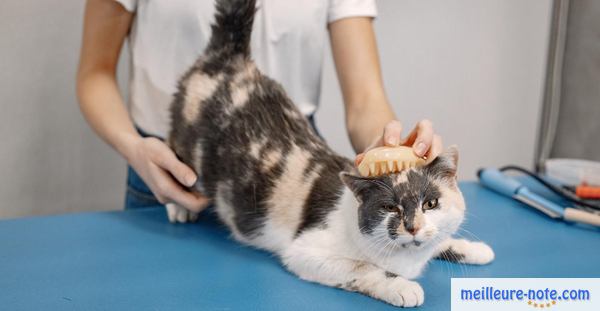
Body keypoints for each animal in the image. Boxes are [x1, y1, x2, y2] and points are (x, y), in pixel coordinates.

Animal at [166, 0, 494, 308]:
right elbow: (365, 268)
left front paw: (473, 248)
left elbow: (438, 240)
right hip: (185, 146)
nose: (412, 227)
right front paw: (402, 286)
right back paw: (179, 206)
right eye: (390, 208)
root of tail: (229, 57)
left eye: (431, 203)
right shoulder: (305, 252)